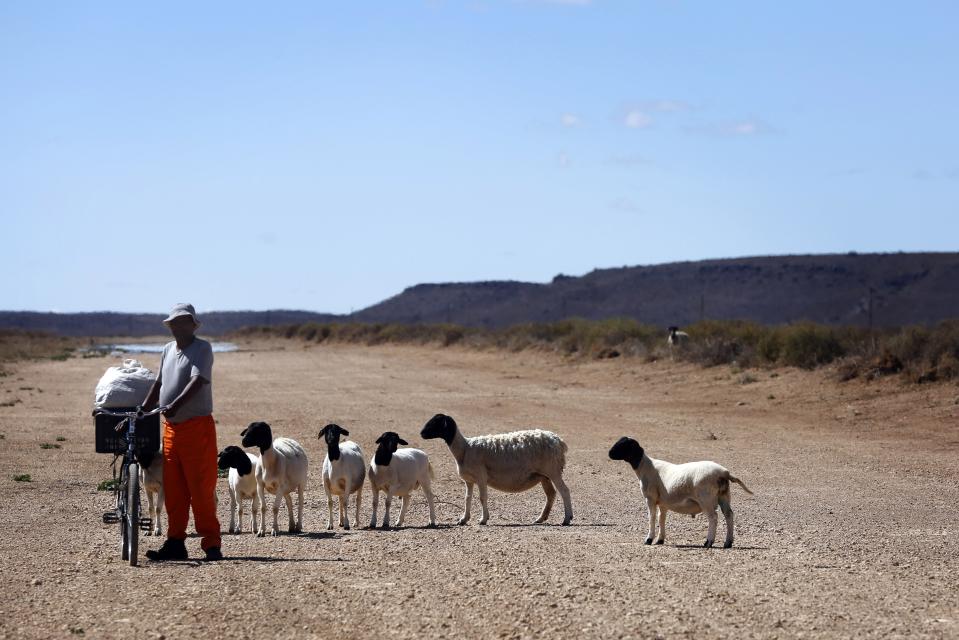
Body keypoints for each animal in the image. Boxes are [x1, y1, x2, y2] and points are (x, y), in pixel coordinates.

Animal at [420, 416, 568, 524]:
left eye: (435, 422)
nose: (421, 433)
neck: (465, 448)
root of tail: (559, 441)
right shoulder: (469, 480)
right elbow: (467, 498)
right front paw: (463, 519)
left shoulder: (481, 477)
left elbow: (482, 497)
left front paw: (483, 519)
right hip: (544, 476)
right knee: (551, 494)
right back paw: (541, 518)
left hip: (553, 471)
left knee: (564, 491)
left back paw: (567, 519)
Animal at [612, 438, 752, 548]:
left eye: (623, 445)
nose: (610, 453)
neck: (645, 467)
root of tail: (724, 473)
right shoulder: (663, 502)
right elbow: (661, 518)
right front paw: (660, 540)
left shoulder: (650, 498)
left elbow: (651, 517)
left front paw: (649, 539)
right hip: (724, 496)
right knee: (729, 515)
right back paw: (728, 543)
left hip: (706, 498)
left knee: (713, 517)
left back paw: (708, 542)